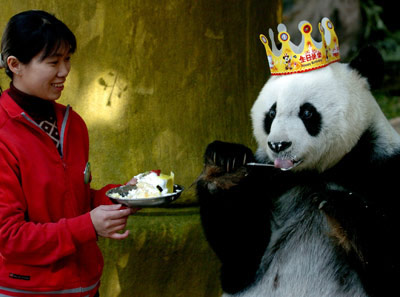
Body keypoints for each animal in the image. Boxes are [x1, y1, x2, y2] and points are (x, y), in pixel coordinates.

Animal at [195, 21, 400, 296]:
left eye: (307, 112)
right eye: (271, 113)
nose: (278, 145)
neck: (320, 172)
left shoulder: (384, 168)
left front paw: (341, 206)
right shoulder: (268, 179)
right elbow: (240, 259)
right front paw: (226, 167)